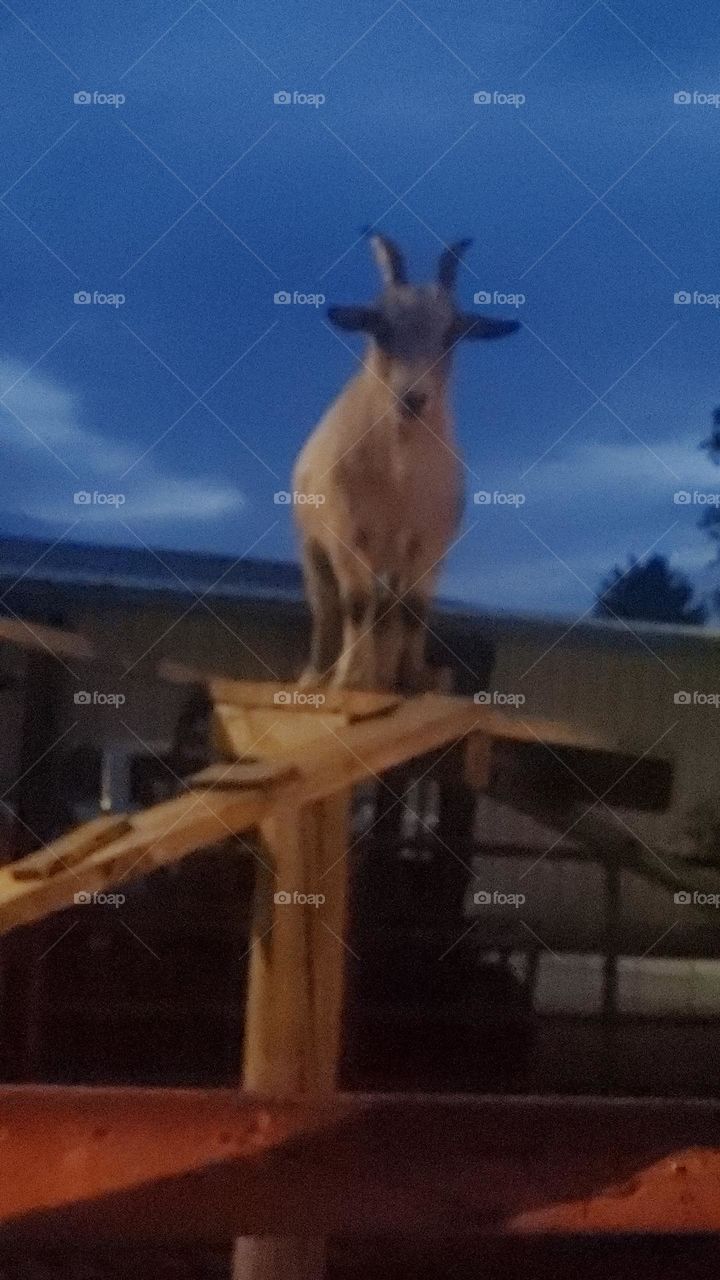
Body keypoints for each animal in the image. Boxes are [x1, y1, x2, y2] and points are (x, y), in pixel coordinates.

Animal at [292, 234, 519, 693]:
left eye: (452, 332)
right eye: (379, 326)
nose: (412, 399)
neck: (398, 476)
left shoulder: (430, 541)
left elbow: (413, 609)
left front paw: (413, 679)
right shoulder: (346, 532)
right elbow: (355, 602)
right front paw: (351, 679)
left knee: (389, 606)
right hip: (312, 547)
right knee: (327, 607)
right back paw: (316, 676)